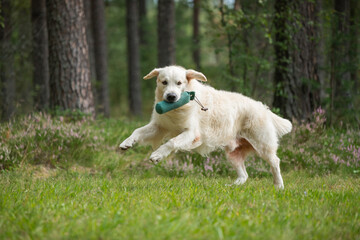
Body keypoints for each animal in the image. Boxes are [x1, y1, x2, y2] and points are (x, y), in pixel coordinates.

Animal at [121, 65, 292, 189]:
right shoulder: (160, 126)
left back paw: (279, 186)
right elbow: (137, 131)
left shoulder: (191, 133)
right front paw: (127, 143)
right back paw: (232, 186)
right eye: (164, 82)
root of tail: (263, 108)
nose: (171, 96)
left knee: (275, 162)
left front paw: (157, 155)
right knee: (244, 175)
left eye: (179, 83)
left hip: (263, 145)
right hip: (233, 154)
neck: (177, 109)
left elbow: (171, 142)